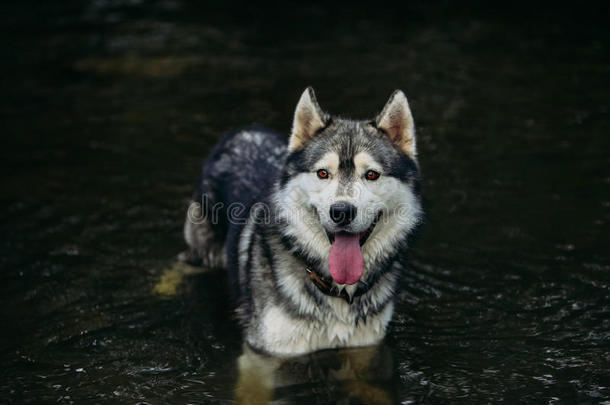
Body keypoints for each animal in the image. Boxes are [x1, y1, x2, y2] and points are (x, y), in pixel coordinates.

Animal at [184, 87, 422, 354]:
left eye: (371, 175)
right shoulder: (263, 353)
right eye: (323, 173)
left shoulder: (365, 347)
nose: (341, 211)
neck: (338, 290)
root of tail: (244, 131)